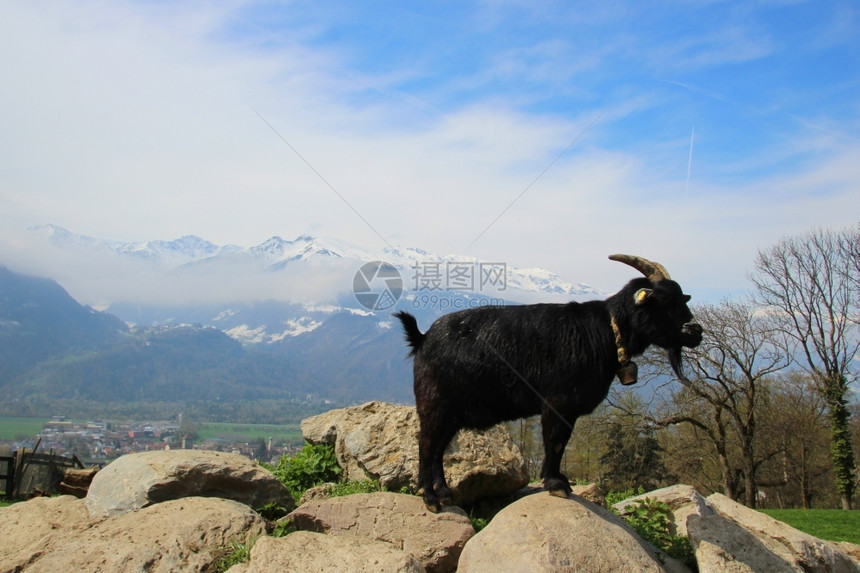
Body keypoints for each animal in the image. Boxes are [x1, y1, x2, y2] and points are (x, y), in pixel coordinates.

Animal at [396, 254, 704, 510]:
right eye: (662, 301)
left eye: (683, 298)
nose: (695, 331)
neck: (605, 331)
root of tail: (422, 337)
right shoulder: (558, 402)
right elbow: (555, 442)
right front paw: (556, 484)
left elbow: (560, 443)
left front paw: (559, 481)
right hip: (435, 404)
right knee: (426, 445)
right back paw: (431, 498)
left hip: (453, 413)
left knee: (438, 448)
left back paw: (445, 492)